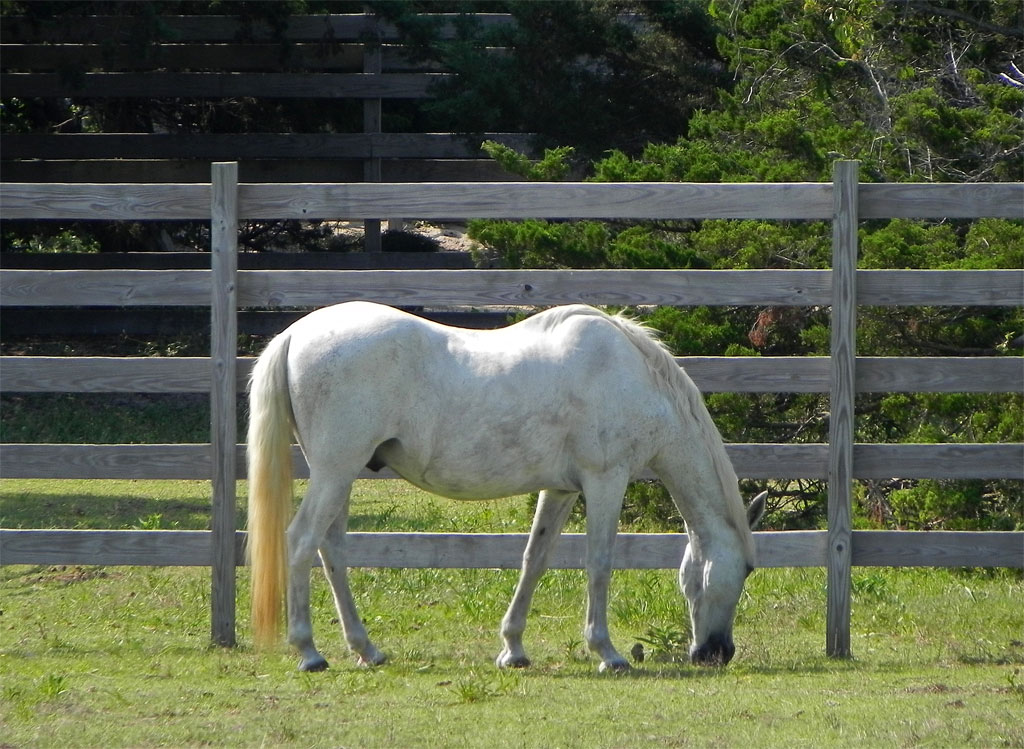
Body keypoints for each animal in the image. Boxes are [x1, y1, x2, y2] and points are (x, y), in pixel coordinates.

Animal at [246, 301, 766, 673]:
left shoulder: (561, 490)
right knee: (300, 542)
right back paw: (309, 653)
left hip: (340, 474)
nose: (717, 653)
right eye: (746, 570)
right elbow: (599, 564)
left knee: (331, 550)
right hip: (336, 471)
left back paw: (367, 649)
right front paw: (607, 654)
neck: (632, 376)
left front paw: (513, 649)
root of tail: (296, 334)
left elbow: (534, 560)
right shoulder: (605, 481)